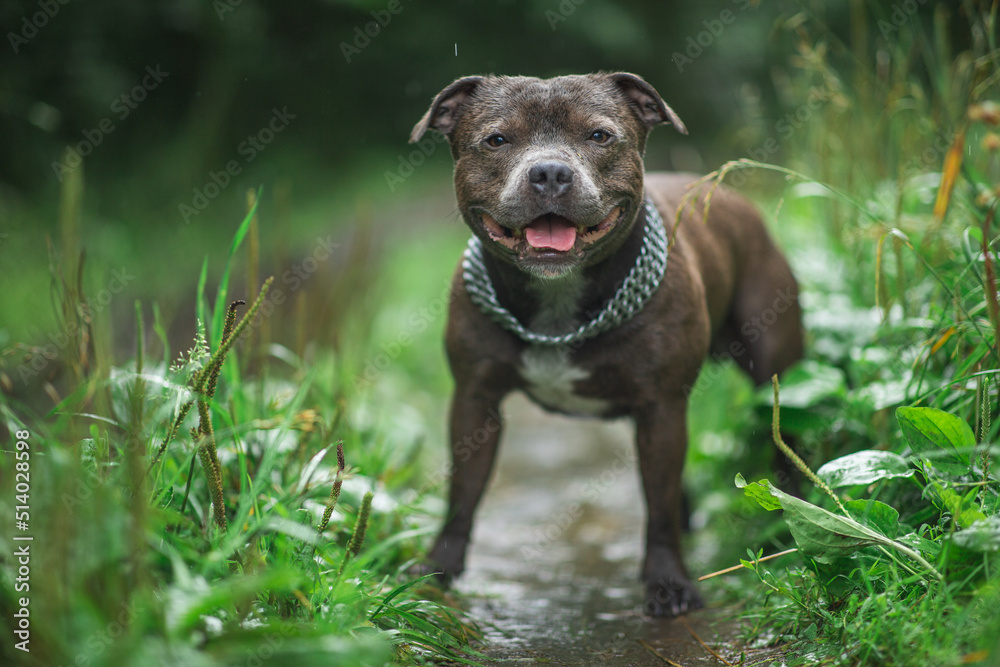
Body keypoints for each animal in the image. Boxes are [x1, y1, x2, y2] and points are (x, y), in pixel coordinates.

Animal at [408, 73, 804, 616]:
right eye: (496, 139)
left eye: (599, 136)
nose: (550, 172)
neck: (557, 302)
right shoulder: (474, 400)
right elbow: (462, 494)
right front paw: (438, 569)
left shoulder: (662, 406)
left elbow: (657, 507)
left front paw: (668, 583)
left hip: (776, 370)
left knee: (785, 444)